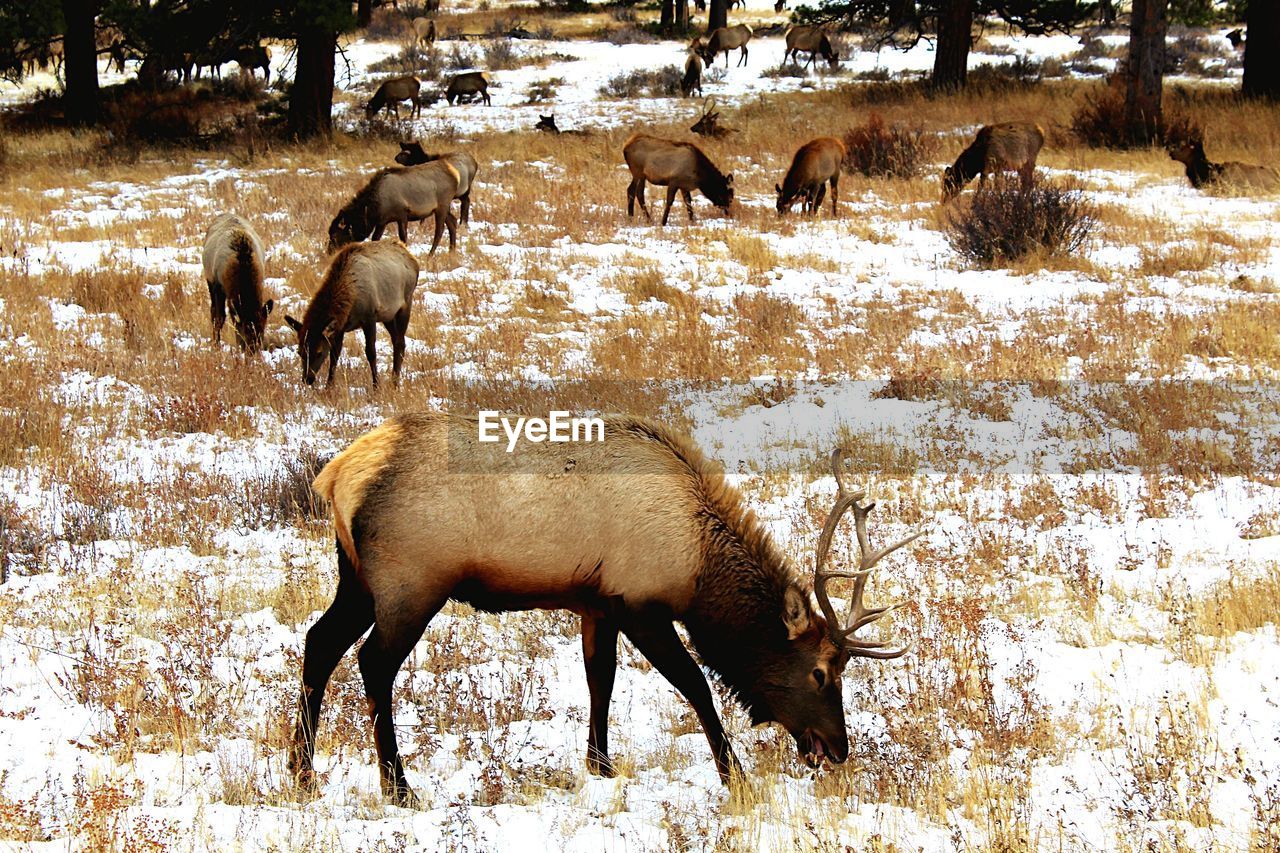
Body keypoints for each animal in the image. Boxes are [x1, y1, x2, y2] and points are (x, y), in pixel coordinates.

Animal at [282, 239, 417, 384]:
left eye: (319, 352)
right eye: (300, 352)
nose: (307, 379)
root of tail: (412, 259)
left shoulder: (369, 317)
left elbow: (371, 352)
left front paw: (376, 384)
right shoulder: (340, 327)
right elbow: (334, 355)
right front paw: (329, 385)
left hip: (405, 304)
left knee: (400, 343)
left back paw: (395, 382)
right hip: (388, 316)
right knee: (396, 341)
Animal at [288, 417, 921, 804]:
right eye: (821, 672)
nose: (837, 749)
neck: (696, 564)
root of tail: (336, 475)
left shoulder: (596, 602)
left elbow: (601, 679)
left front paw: (601, 766)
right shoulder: (641, 603)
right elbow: (695, 683)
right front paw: (734, 774)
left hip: (357, 581)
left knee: (318, 643)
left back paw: (302, 772)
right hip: (411, 583)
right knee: (373, 663)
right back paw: (398, 787)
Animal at [325, 159, 460, 252]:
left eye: (335, 235)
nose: (329, 252)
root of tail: (455, 174)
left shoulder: (402, 215)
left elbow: (403, 237)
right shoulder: (382, 221)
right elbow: (375, 238)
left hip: (442, 205)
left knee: (439, 230)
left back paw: (430, 255)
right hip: (444, 207)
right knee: (453, 222)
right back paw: (451, 251)